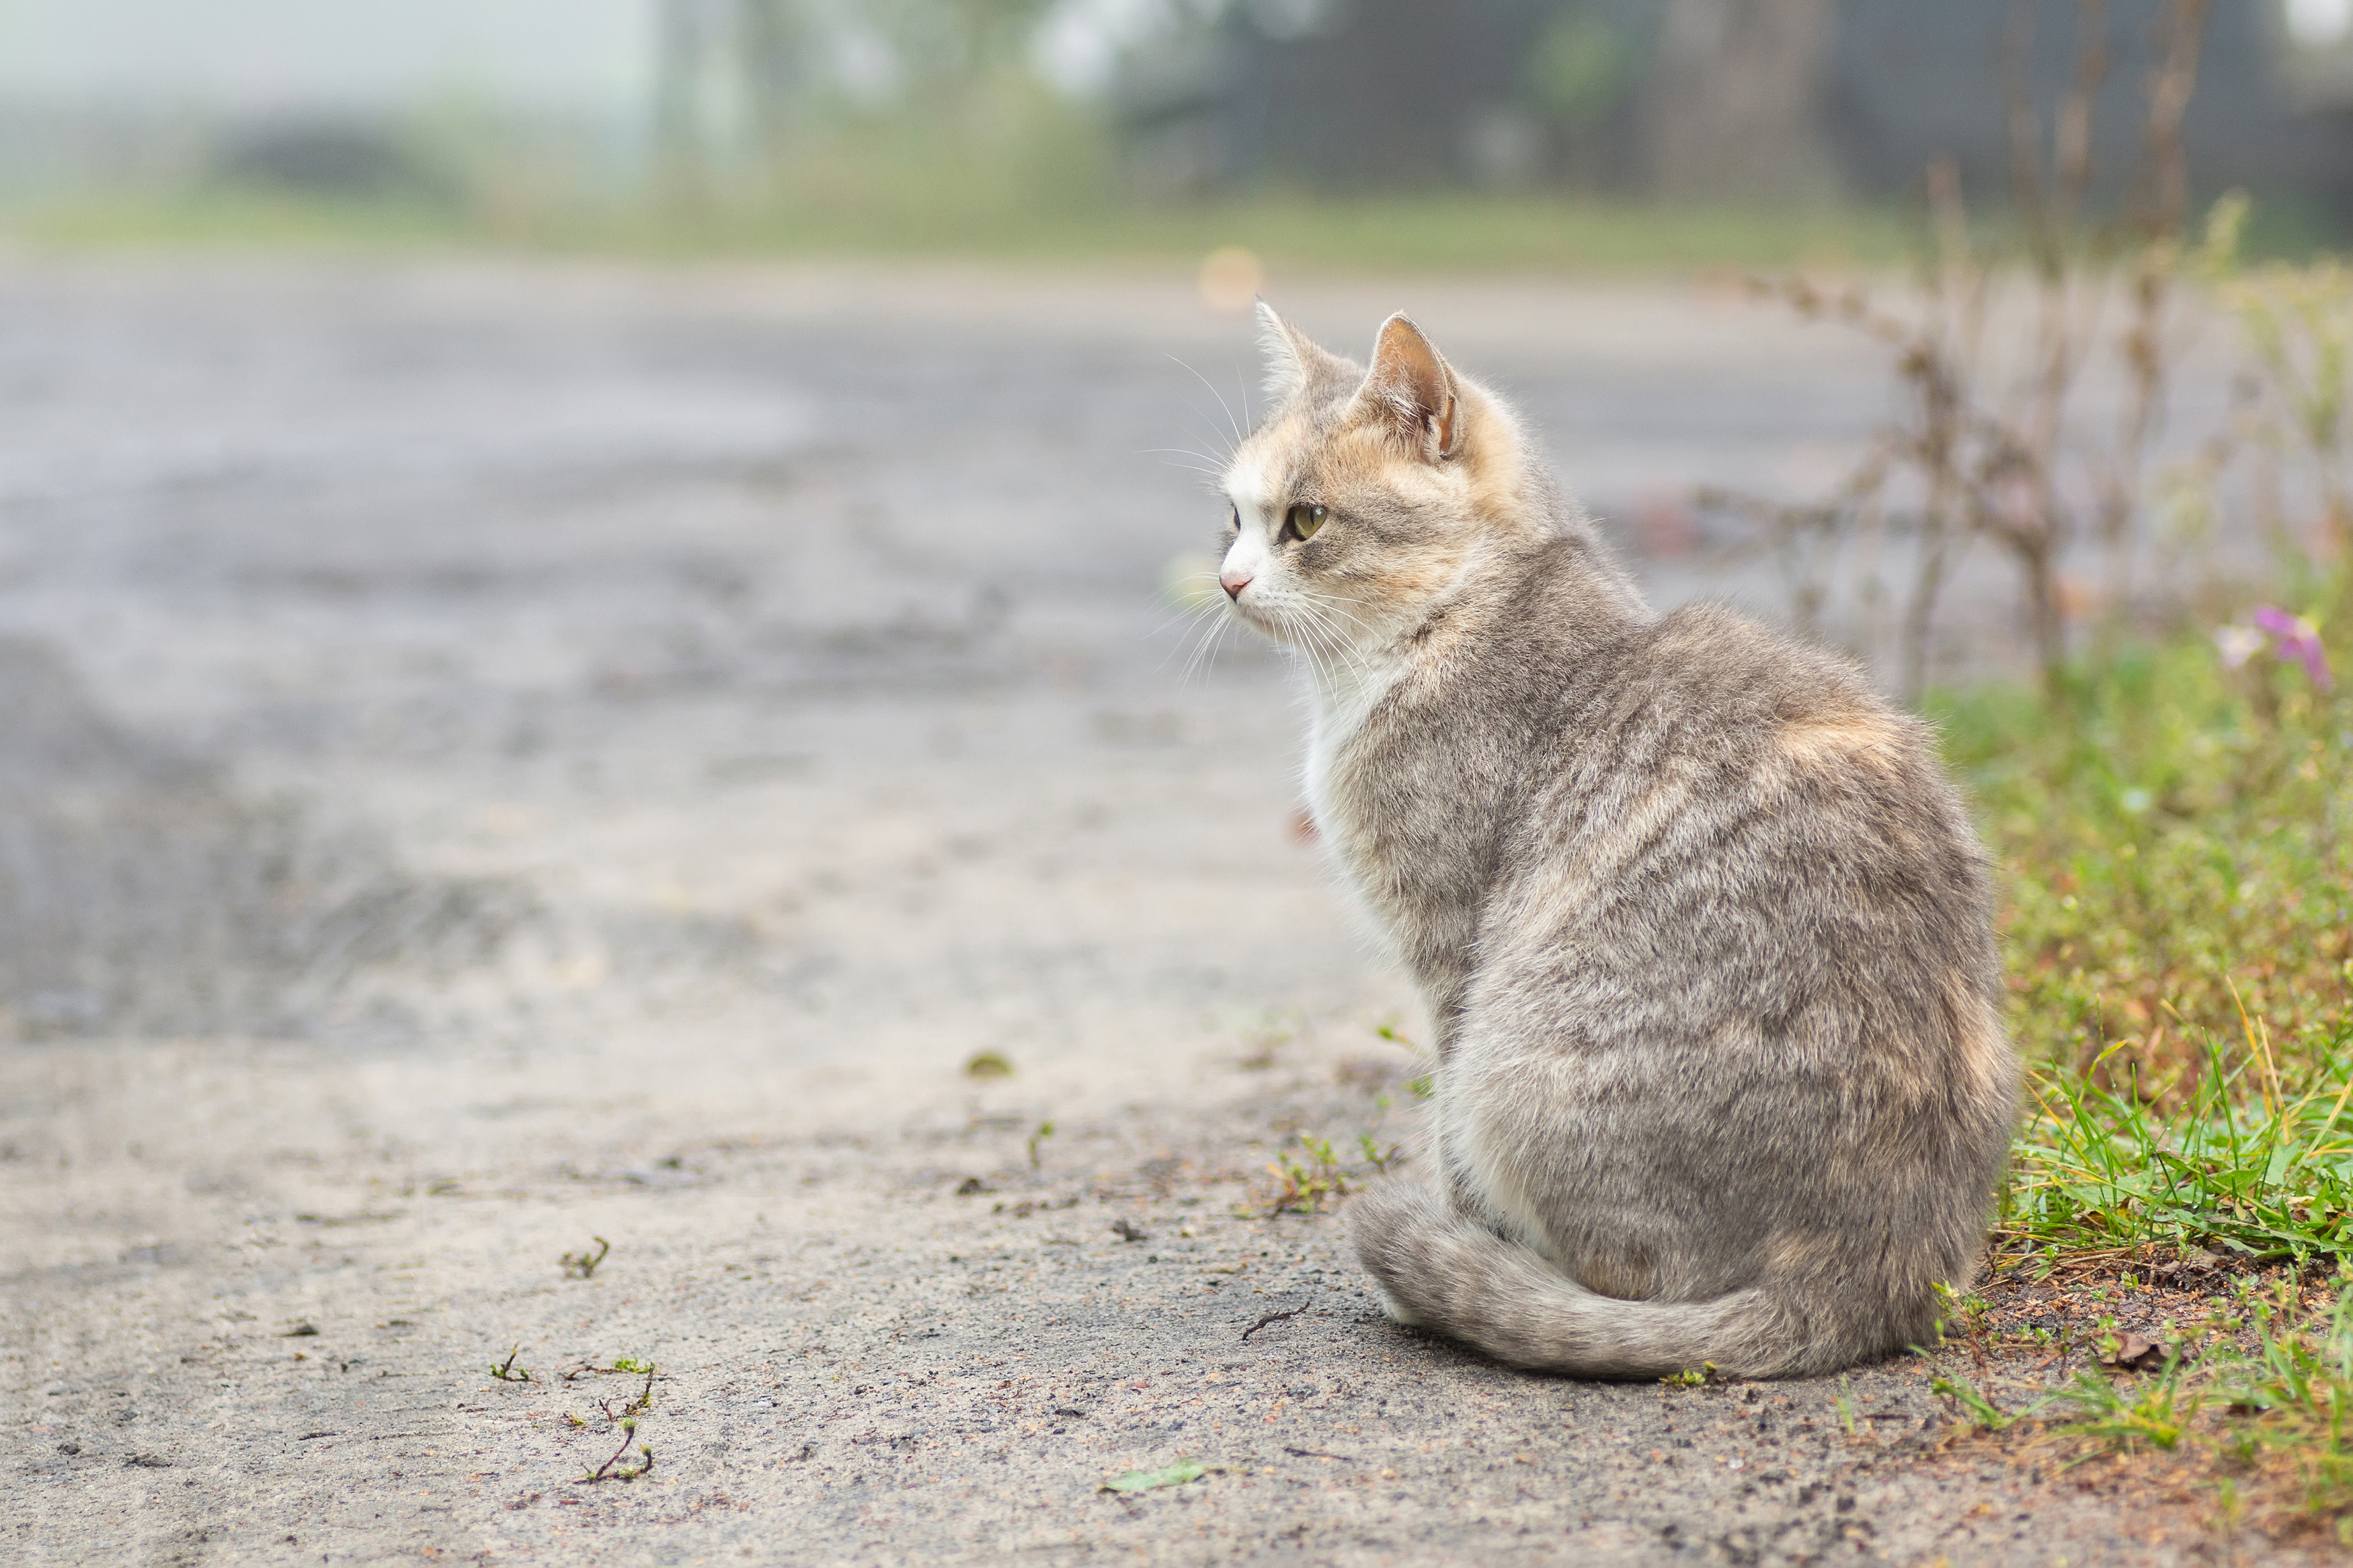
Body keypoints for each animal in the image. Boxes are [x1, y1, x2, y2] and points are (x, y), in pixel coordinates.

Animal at [1214, 303, 2024, 1372]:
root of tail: (1872, 1274)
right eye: (1234, 517)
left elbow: (1445, 1136)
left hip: (1510, 1063)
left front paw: (1459, 1242)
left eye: (1304, 521)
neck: (1451, 620)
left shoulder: (1450, 953)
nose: (1226, 579)